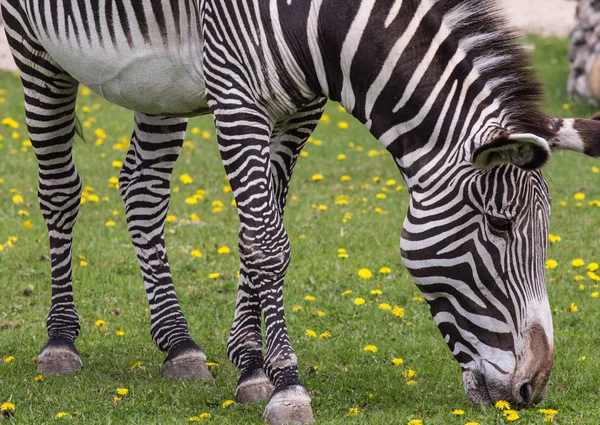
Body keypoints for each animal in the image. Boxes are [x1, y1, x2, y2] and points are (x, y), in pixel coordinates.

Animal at [3, 0, 600, 422]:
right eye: (500, 225)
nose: (532, 388)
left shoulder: (301, 107)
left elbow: (258, 230)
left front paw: (250, 366)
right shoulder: (236, 96)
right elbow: (268, 242)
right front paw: (286, 387)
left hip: (157, 82)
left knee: (144, 188)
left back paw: (179, 345)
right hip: (32, 44)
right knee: (58, 189)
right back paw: (59, 341)